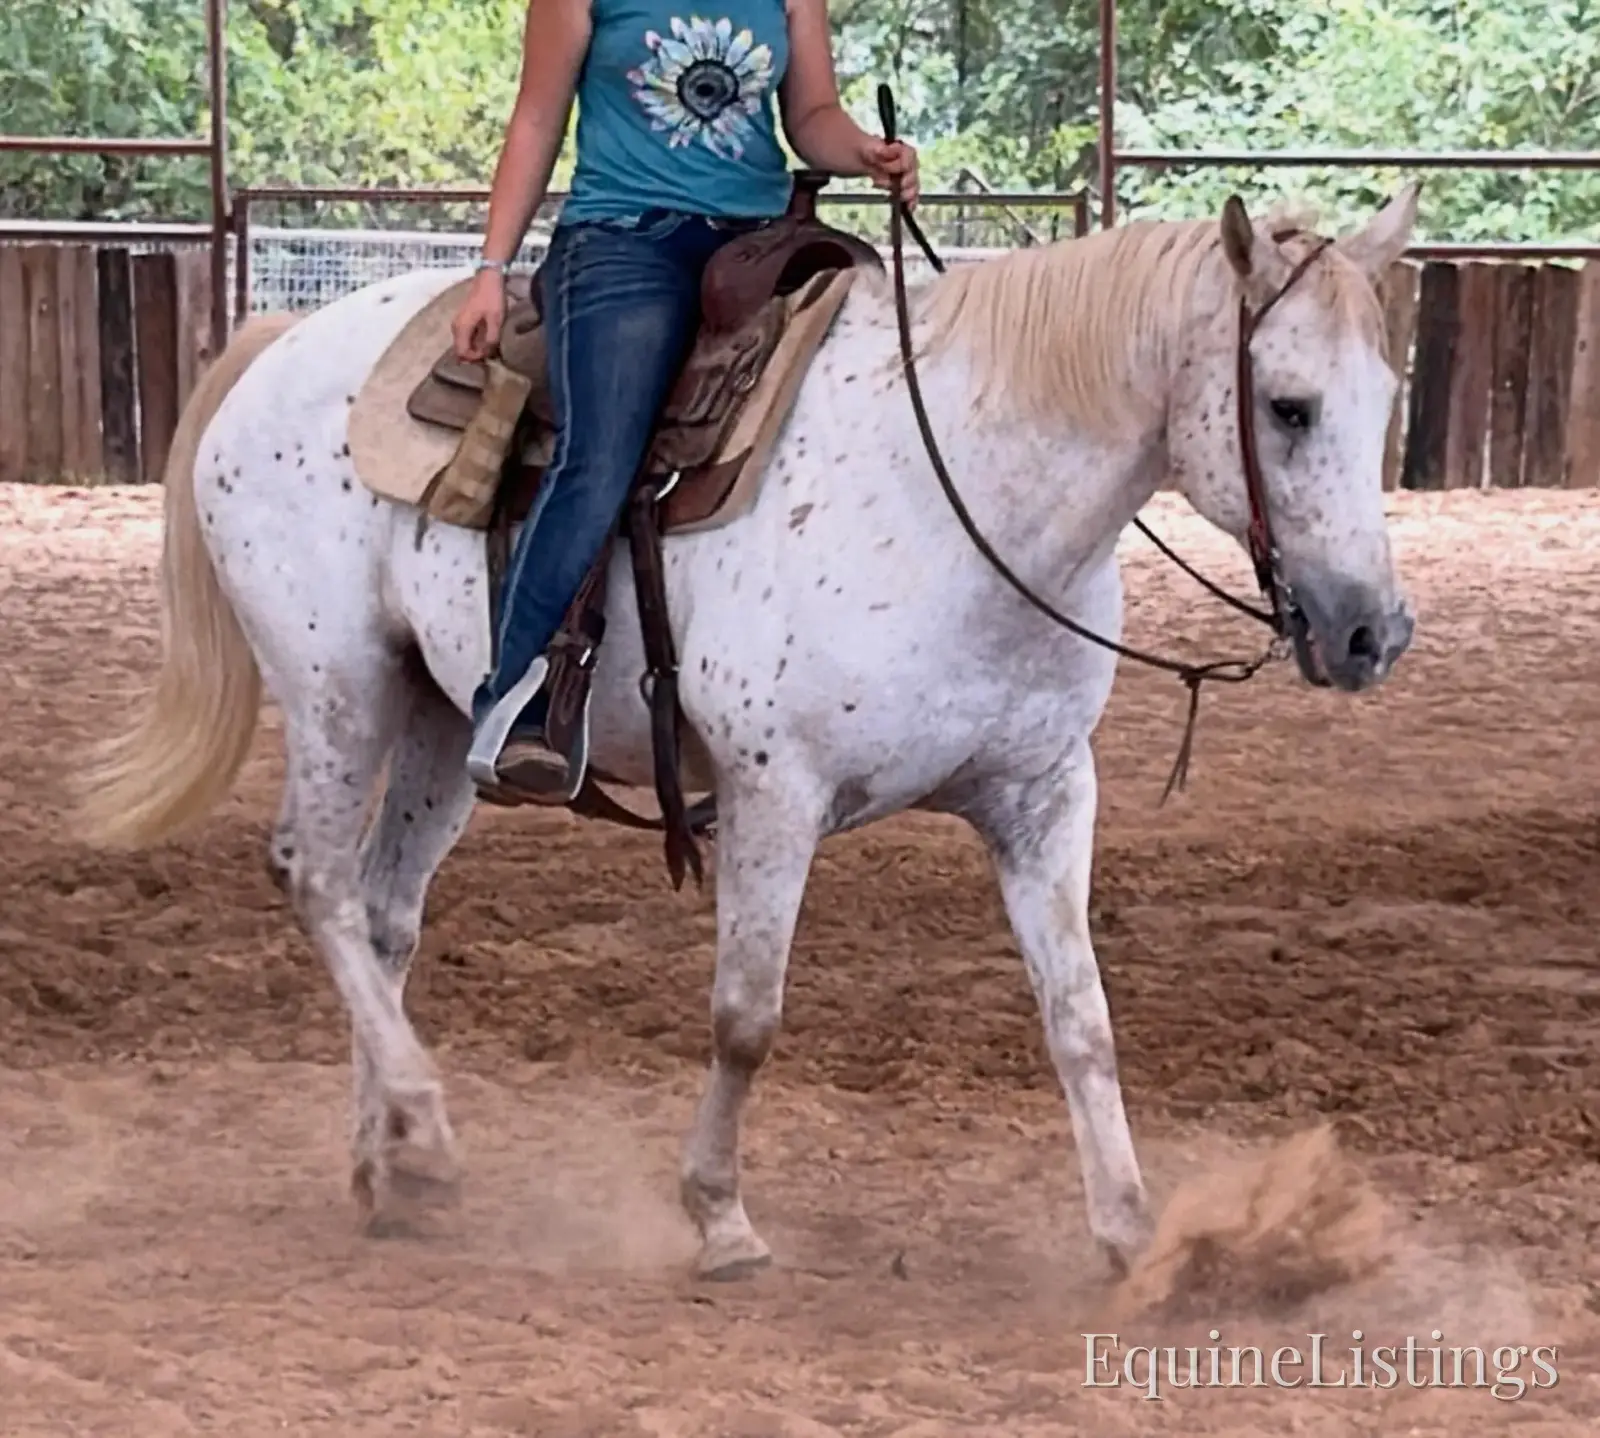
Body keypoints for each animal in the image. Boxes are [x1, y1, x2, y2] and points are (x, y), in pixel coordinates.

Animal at [74, 182, 1420, 1282]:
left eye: (1384, 402)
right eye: (1287, 407)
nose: (1371, 631)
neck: (963, 494)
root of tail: (280, 343)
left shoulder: (1043, 798)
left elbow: (1080, 1020)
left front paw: (1134, 1231)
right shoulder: (778, 792)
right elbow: (746, 1013)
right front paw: (718, 1215)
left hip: (439, 715)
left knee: (383, 910)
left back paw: (391, 1164)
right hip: (335, 685)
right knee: (314, 879)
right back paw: (424, 1117)